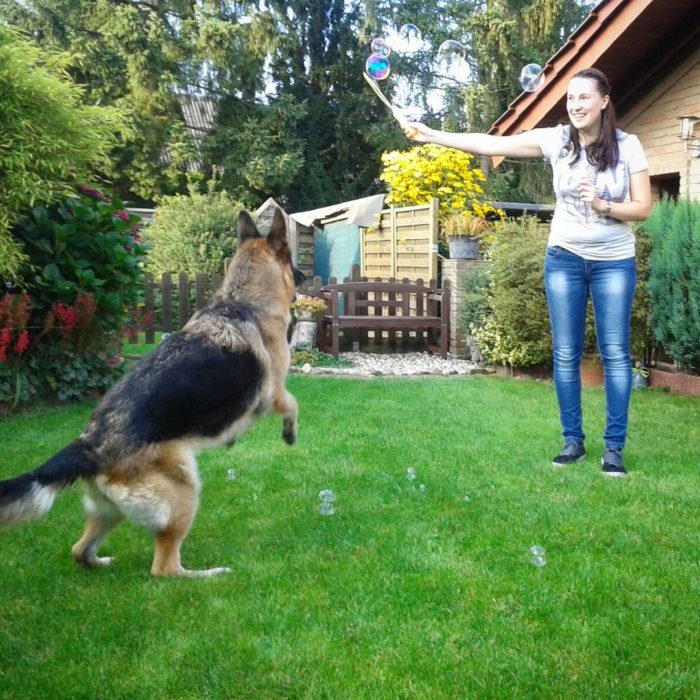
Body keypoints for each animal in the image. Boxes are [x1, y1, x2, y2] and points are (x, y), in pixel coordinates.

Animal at [1, 209, 304, 580]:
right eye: (291, 261)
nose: (304, 276)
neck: (242, 301)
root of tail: (89, 445)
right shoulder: (272, 393)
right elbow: (293, 404)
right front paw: (289, 434)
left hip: (109, 511)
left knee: (79, 550)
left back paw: (100, 562)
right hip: (184, 491)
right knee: (164, 568)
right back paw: (207, 574)